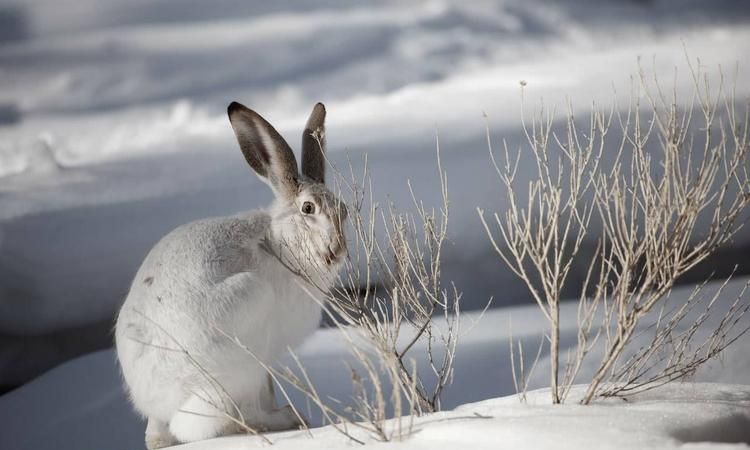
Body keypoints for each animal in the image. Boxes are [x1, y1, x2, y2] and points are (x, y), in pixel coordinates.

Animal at [114, 100, 350, 448]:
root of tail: (157, 397)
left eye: (344, 211)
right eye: (308, 209)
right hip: (247, 323)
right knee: (221, 420)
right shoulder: (266, 357)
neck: (279, 242)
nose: (337, 251)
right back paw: (288, 419)